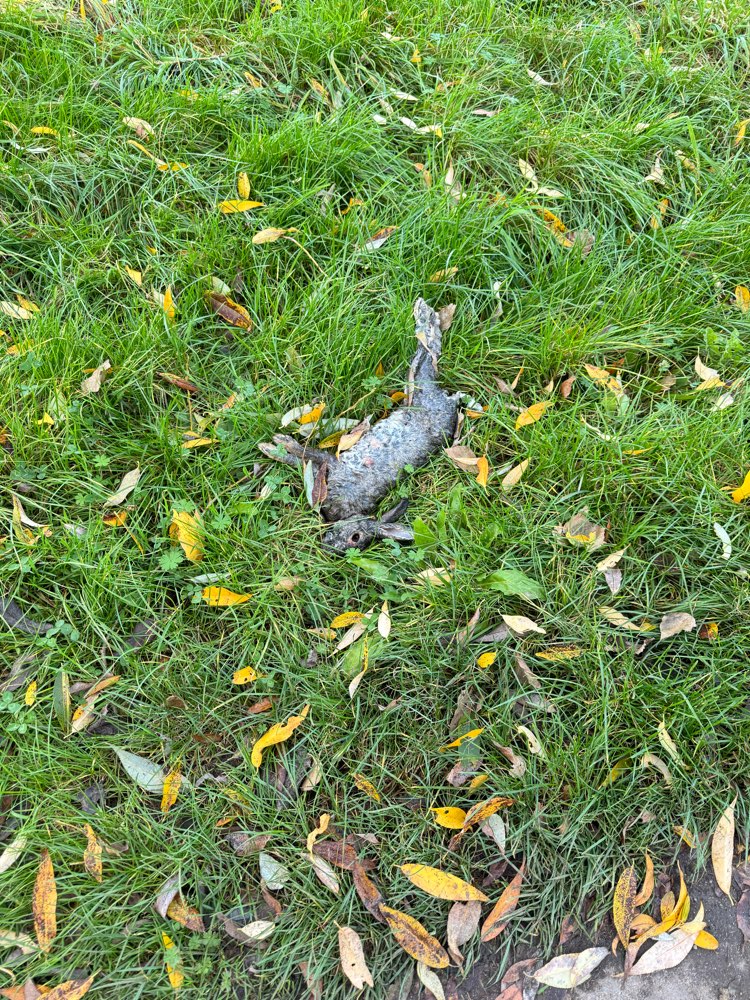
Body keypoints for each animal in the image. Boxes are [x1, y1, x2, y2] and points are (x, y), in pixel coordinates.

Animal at [259, 298, 459, 553]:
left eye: (356, 538)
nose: (329, 547)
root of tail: (448, 399)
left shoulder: (328, 471)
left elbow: (298, 460)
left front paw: (272, 447)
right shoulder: (334, 465)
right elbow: (304, 452)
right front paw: (276, 443)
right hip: (417, 395)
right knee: (425, 356)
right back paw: (425, 313)